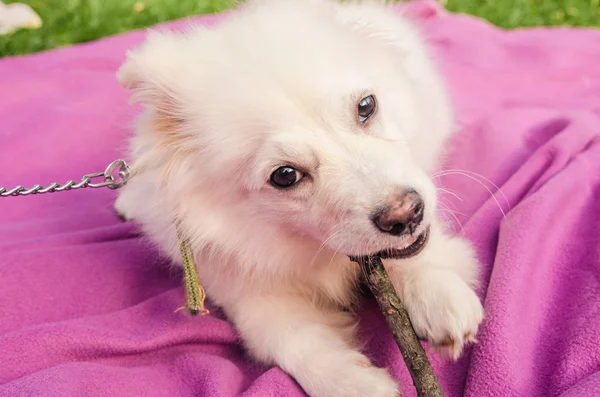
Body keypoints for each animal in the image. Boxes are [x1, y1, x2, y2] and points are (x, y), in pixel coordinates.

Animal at [115, 1, 486, 394]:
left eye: (366, 106)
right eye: (285, 176)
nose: (405, 214)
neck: (315, 252)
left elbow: (417, 256)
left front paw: (438, 297)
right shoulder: (248, 296)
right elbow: (295, 340)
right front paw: (355, 382)